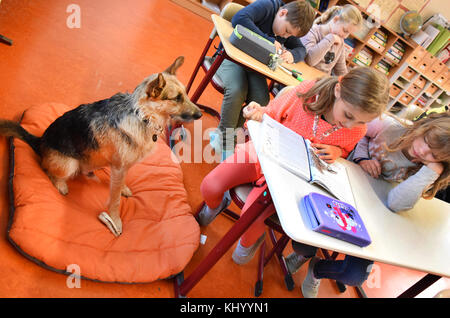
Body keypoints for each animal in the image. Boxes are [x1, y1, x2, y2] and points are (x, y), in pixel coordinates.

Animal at [0, 56, 201, 237]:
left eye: (186, 94)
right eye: (177, 98)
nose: (200, 114)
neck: (141, 115)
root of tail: (40, 140)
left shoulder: (123, 167)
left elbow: (121, 185)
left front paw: (124, 189)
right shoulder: (119, 168)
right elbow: (115, 200)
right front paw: (115, 220)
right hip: (69, 164)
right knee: (47, 169)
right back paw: (61, 184)